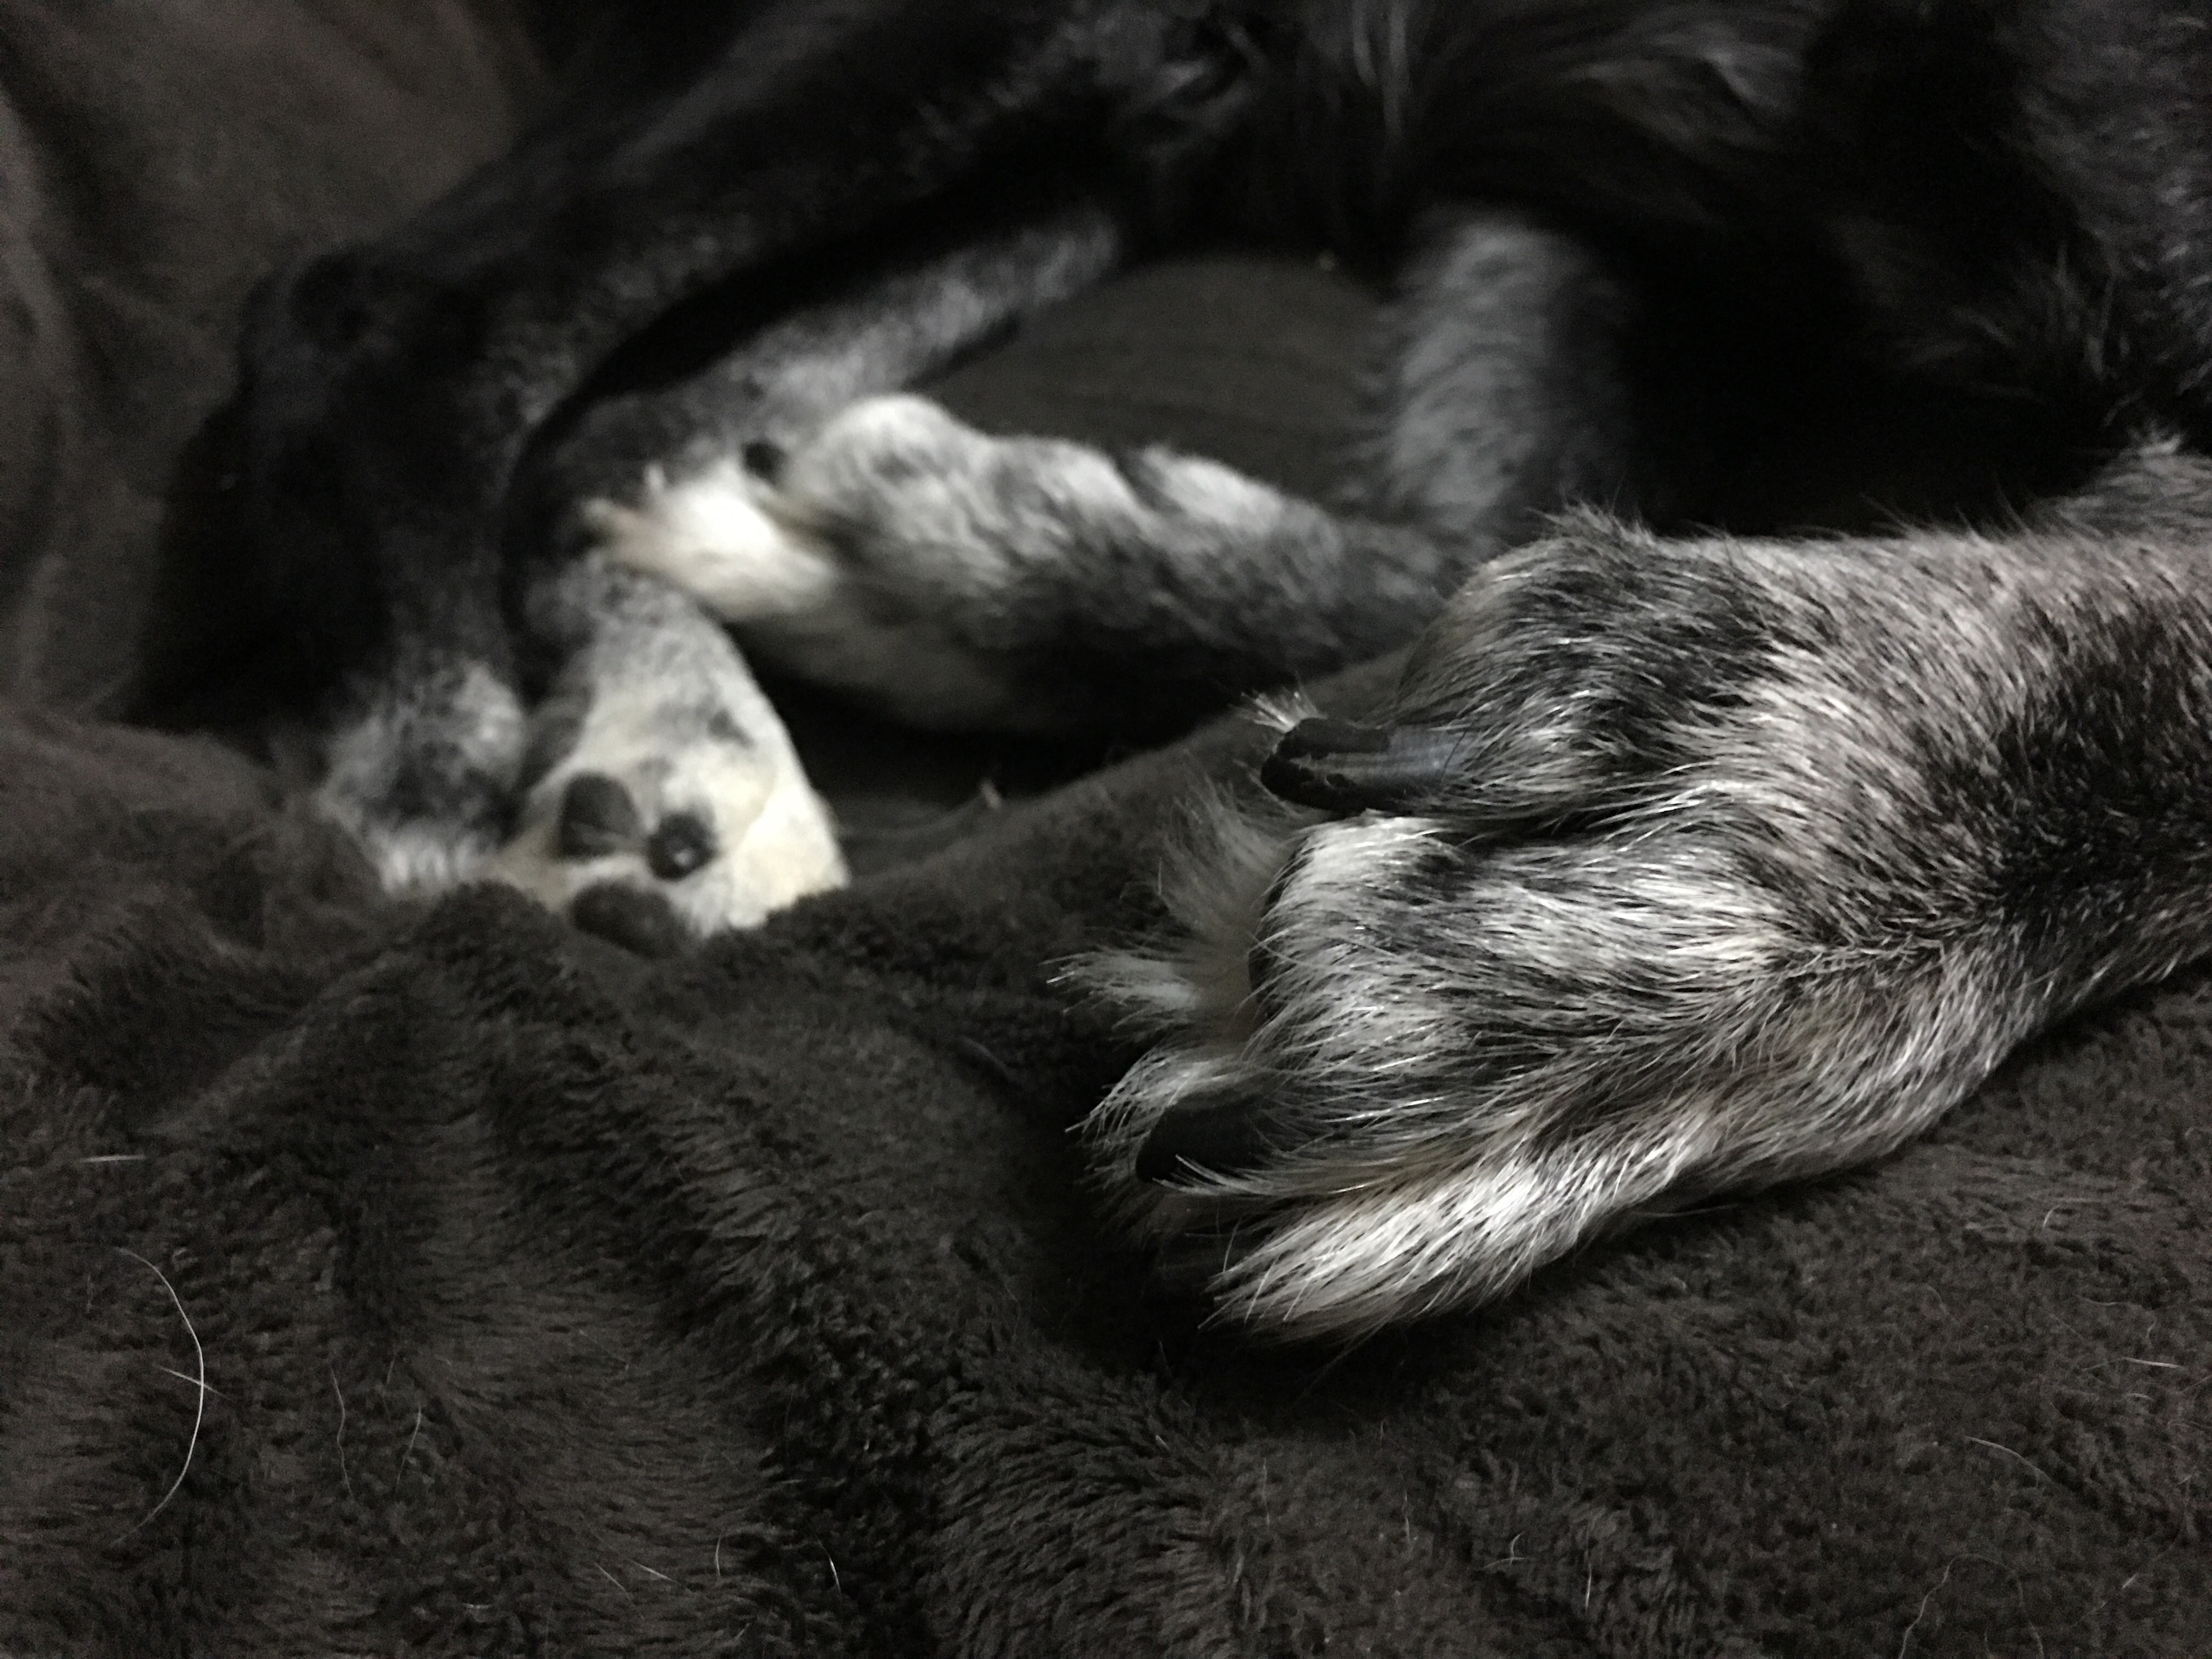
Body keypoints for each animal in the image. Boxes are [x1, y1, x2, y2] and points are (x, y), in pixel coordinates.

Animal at [227, 0, 2212, 1338]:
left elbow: (1457, 543)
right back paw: (427, 757)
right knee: (387, 310)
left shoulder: (1589, 204)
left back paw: (679, 731)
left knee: (626, 426)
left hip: (1127, 135)